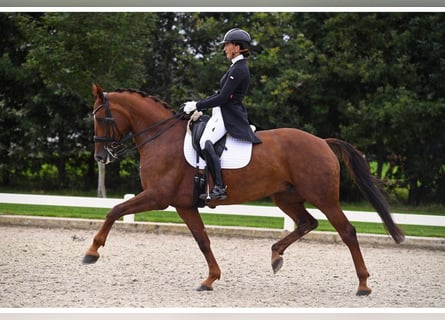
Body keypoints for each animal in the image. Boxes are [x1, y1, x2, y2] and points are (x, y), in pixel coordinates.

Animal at [81, 82, 404, 296]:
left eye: (100, 117)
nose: (101, 157)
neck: (161, 137)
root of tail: (322, 142)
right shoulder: (184, 204)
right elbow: (203, 241)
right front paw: (210, 279)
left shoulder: (158, 197)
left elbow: (114, 211)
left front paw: (92, 252)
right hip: (285, 197)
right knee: (307, 222)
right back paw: (276, 256)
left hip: (323, 197)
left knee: (347, 231)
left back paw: (363, 284)